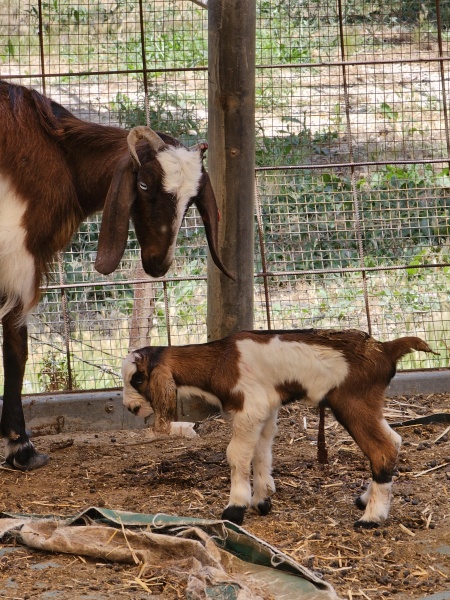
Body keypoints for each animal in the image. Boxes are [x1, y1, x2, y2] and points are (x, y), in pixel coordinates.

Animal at [0, 79, 232, 472]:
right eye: (143, 185)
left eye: (191, 201)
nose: (157, 264)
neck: (59, 154)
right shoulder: (15, 259)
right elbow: (17, 351)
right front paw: (22, 448)